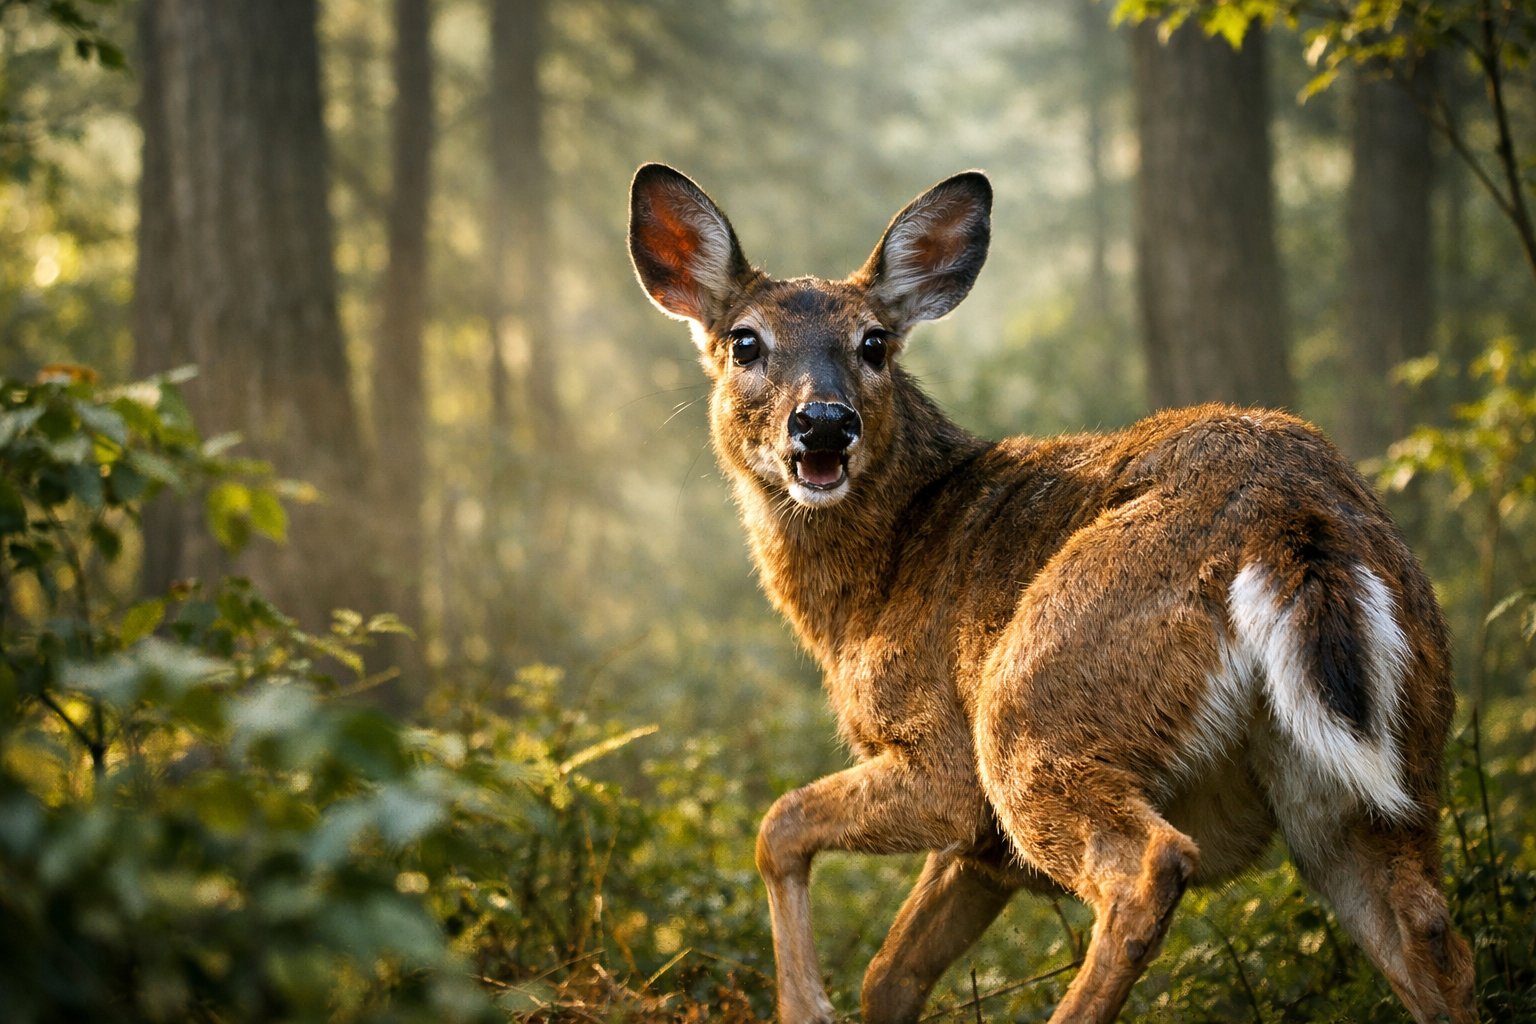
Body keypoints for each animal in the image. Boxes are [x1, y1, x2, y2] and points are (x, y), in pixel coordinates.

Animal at [627, 162, 1477, 1024]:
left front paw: (805, 1008)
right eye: (745, 341)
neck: (871, 588)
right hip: (1385, 769)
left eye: (874, 343)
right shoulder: (985, 853)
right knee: (1430, 929)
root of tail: (1288, 513)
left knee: (1149, 864)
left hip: (1035, 703)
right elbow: (890, 973)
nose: (825, 423)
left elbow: (779, 824)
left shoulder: (943, 767)